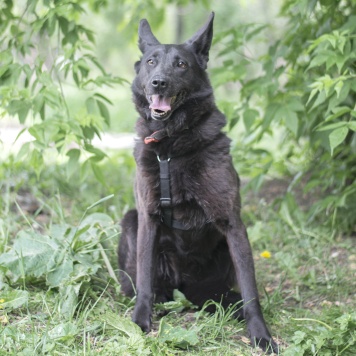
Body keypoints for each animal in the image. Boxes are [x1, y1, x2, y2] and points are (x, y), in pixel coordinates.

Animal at [119, 11, 278, 354]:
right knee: (142, 284)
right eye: (151, 62)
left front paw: (261, 334)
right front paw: (140, 323)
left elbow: (251, 292)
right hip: (130, 220)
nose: (159, 82)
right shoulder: (147, 218)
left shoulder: (233, 223)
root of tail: (186, 286)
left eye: (181, 64)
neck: (171, 145)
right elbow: (145, 280)